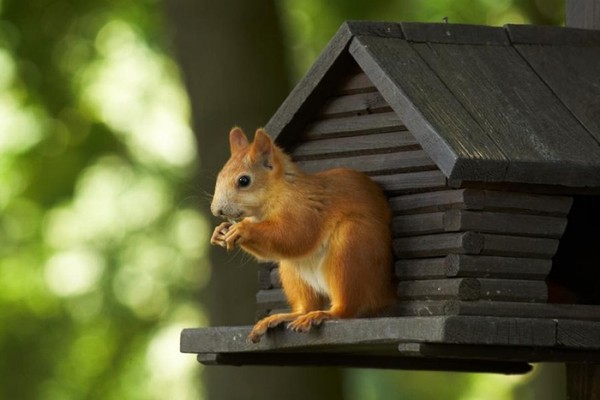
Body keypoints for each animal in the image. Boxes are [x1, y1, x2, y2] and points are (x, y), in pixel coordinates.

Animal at [209, 126, 396, 342]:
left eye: (244, 180)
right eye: (219, 176)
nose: (216, 210)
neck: (278, 193)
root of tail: (386, 291)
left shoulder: (304, 209)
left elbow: (295, 236)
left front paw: (243, 229)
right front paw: (219, 231)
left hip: (351, 247)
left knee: (347, 309)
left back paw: (325, 313)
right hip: (293, 272)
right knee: (306, 305)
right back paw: (285, 316)